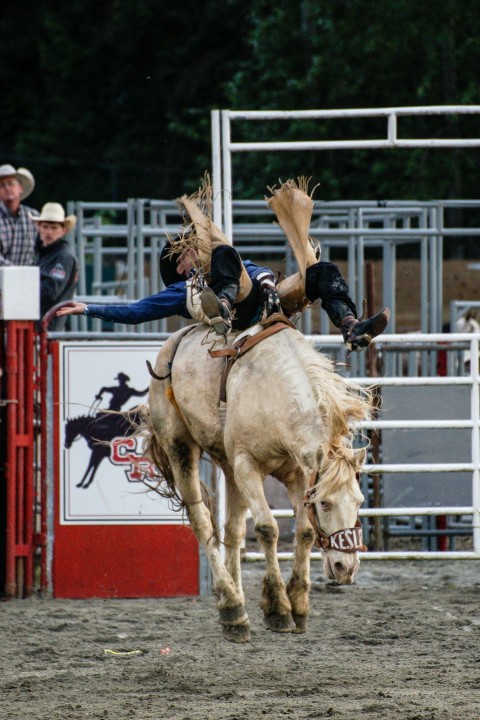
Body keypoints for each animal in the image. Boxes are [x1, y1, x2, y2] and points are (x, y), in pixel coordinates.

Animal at [141, 321, 372, 642]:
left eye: (360, 501)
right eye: (325, 503)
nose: (345, 567)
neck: (274, 394)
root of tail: (176, 339)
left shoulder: (298, 474)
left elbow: (304, 532)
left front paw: (298, 605)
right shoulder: (246, 465)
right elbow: (267, 529)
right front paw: (278, 609)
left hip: (228, 467)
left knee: (233, 531)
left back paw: (234, 608)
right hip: (179, 446)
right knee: (202, 522)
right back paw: (232, 607)